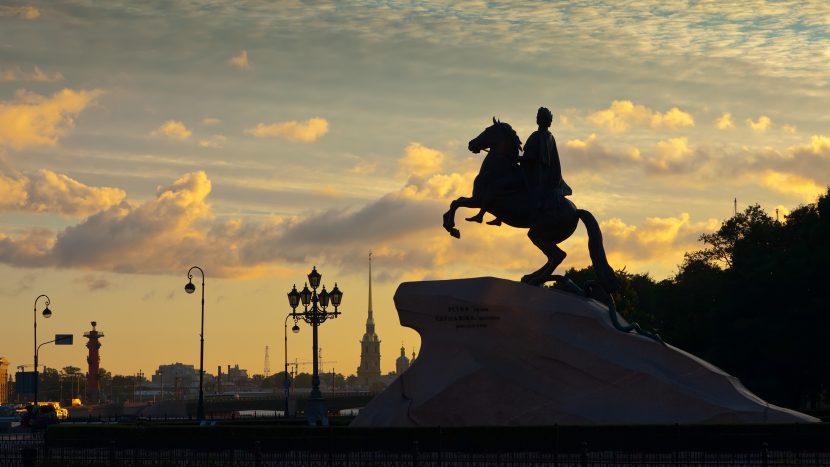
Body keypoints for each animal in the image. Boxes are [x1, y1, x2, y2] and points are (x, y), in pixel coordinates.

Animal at [446, 119, 620, 290]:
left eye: (487, 130)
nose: (471, 144)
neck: (499, 169)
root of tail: (577, 211)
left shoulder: (478, 200)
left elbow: (457, 202)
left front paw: (454, 228)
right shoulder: (476, 199)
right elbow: (456, 202)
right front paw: (451, 226)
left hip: (538, 233)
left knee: (558, 255)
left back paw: (535, 279)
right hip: (545, 236)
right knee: (553, 257)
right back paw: (530, 277)